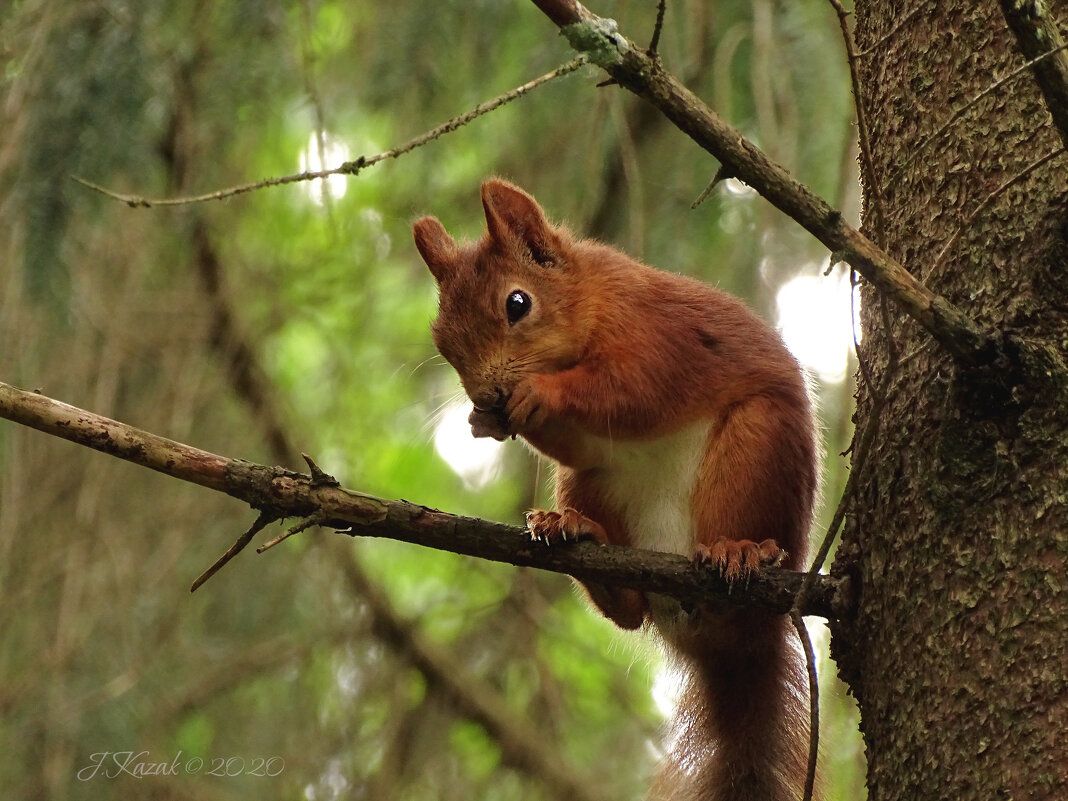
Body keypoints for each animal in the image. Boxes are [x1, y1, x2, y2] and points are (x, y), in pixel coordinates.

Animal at [412, 178, 811, 801]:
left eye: (517, 304)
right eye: (442, 338)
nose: (489, 395)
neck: (590, 298)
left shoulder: (657, 337)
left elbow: (630, 391)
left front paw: (541, 394)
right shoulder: (582, 448)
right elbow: (580, 442)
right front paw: (486, 422)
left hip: (757, 451)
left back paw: (742, 551)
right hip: (590, 486)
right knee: (627, 612)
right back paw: (576, 536)